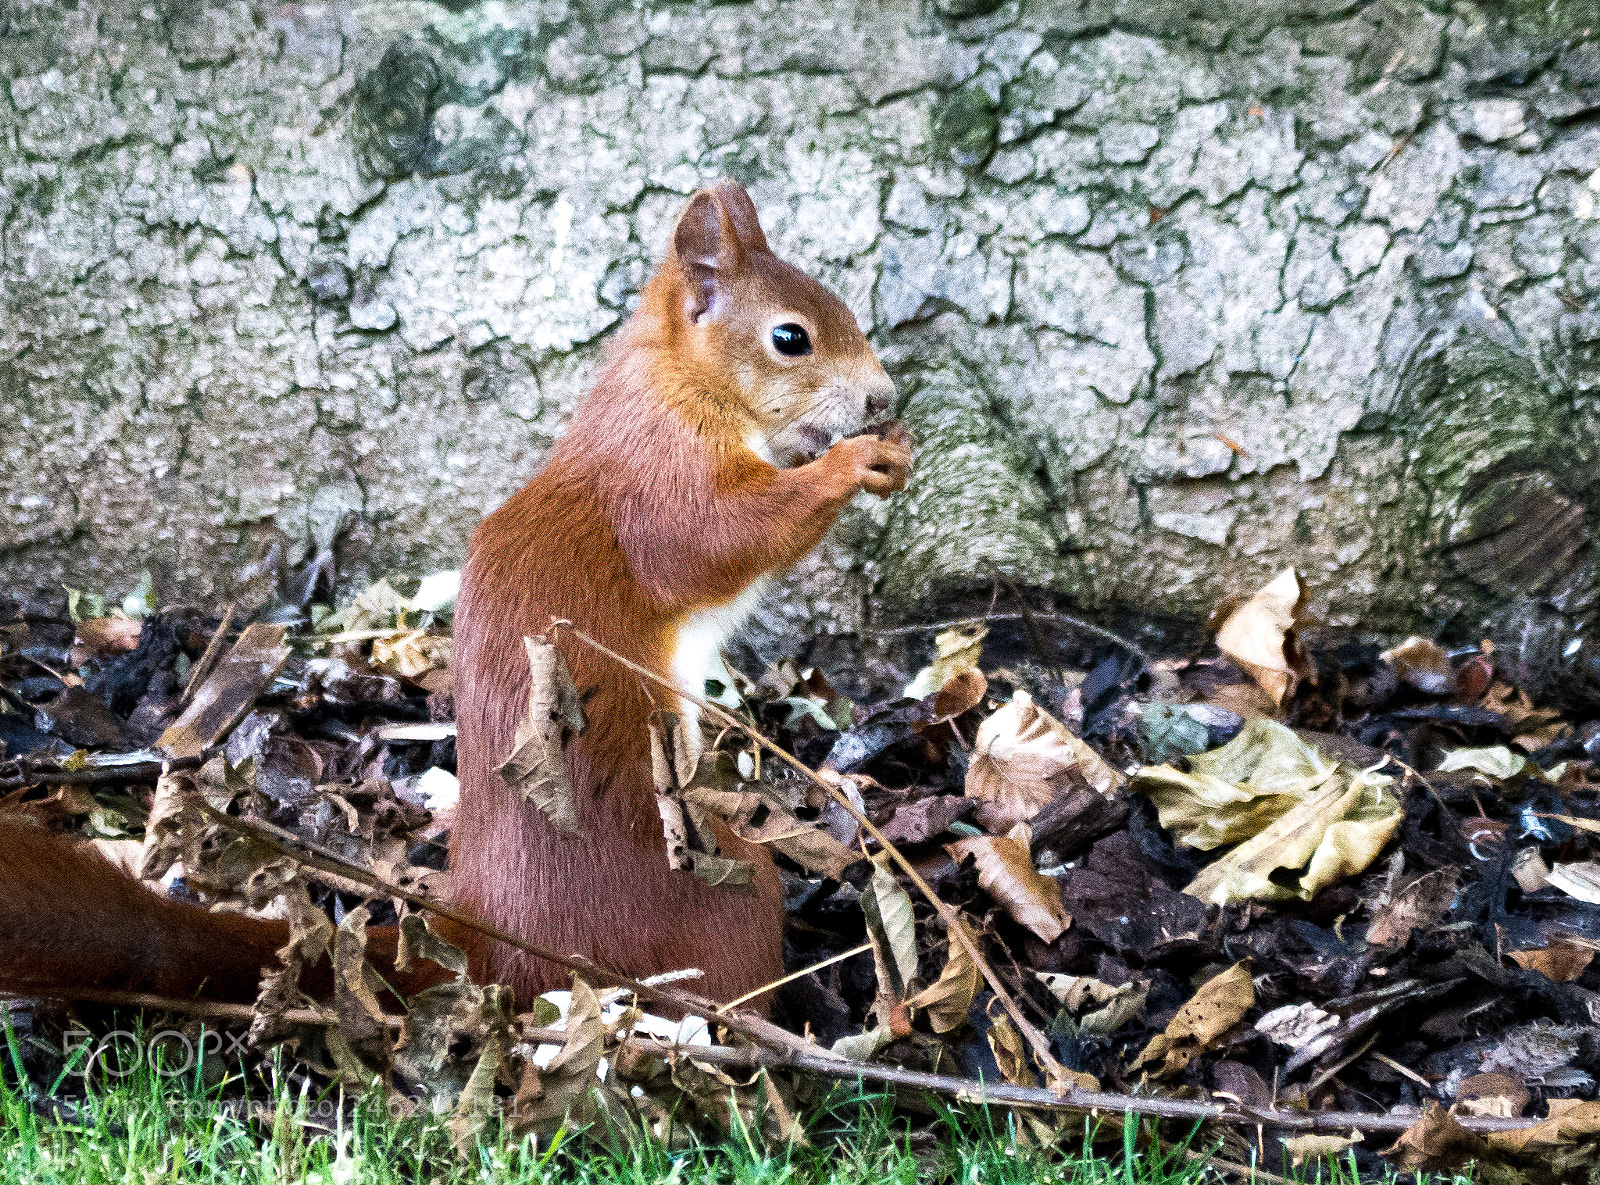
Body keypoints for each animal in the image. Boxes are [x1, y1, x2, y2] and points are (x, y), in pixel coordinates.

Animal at [0, 180, 912, 1016]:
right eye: (790, 337)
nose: (883, 398)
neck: (679, 382)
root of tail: (495, 938)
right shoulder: (660, 479)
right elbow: (724, 538)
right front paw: (850, 463)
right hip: (720, 891)